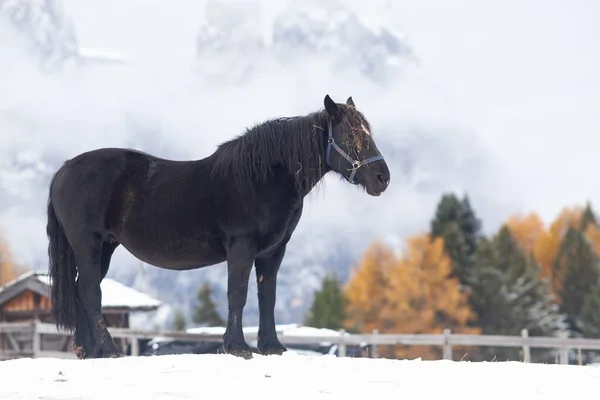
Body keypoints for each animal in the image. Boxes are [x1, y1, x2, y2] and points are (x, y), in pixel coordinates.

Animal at [43, 94, 390, 360]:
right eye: (351, 136)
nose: (382, 178)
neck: (265, 177)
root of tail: (63, 171)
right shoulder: (242, 246)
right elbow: (238, 293)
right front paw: (237, 347)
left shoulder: (273, 252)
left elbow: (267, 295)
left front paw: (272, 346)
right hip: (89, 244)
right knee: (90, 291)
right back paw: (109, 349)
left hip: (105, 247)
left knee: (82, 290)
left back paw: (90, 351)